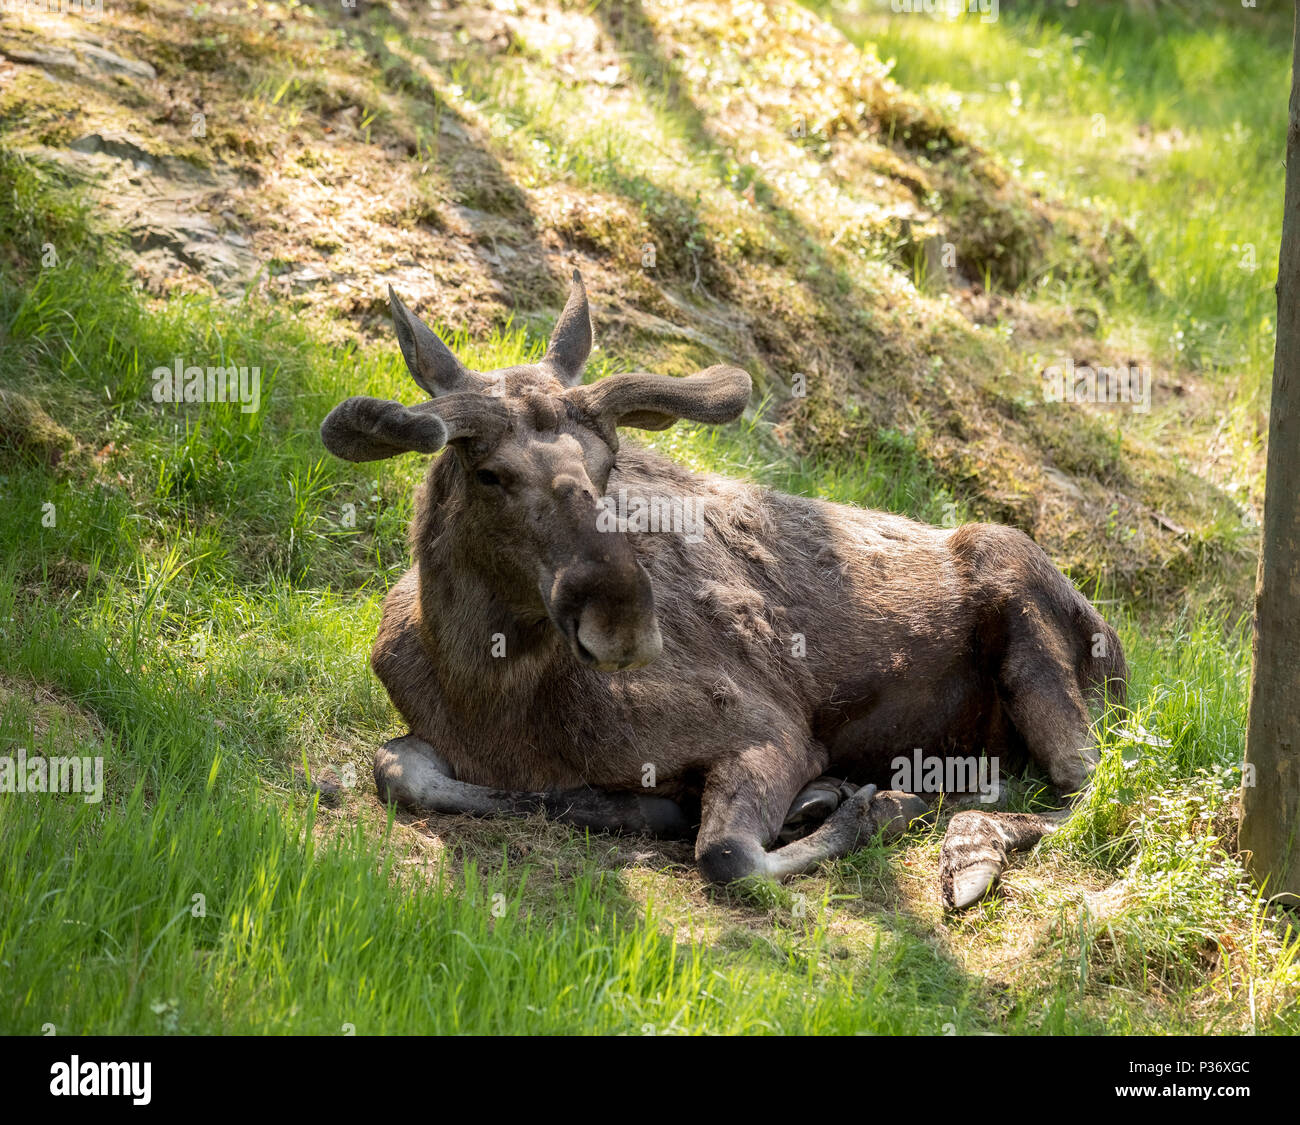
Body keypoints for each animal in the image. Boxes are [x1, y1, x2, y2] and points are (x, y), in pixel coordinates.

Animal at [319, 270, 1123, 905]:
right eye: (490, 473)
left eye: (611, 463)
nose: (622, 620)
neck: (487, 695)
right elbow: (396, 767)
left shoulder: (772, 727)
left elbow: (728, 856)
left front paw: (867, 809)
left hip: (1024, 598)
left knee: (1088, 788)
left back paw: (954, 837)